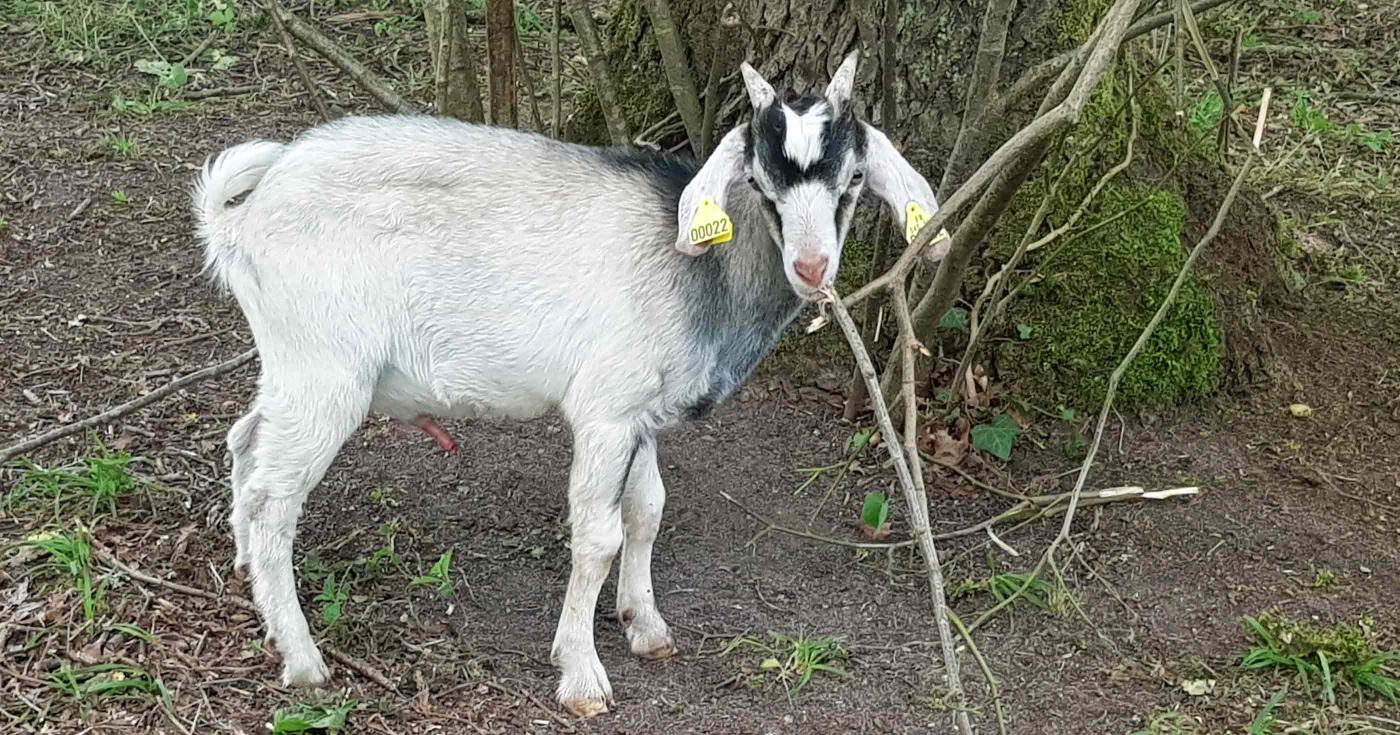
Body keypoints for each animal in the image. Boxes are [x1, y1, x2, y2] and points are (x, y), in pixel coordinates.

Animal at [194, 52, 940, 716]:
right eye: (758, 181)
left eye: (852, 179)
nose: (813, 267)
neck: (700, 267)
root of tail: (241, 217)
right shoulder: (606, 412)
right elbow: (599, 535)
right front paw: (581, 675)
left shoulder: (642, 412)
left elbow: (648, 510)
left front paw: (646, 625)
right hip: (327, 370)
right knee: (273, 500)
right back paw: (301, 656)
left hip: (290, 363)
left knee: (245, 440)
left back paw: (244, 571)